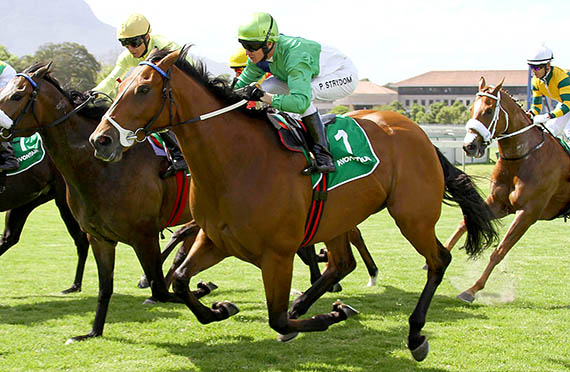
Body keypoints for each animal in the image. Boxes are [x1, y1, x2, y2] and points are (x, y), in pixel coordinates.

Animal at [90, 48, 496, 362]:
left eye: (143, 88)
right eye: (120, 85)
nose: (101, 140)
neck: (236, 163)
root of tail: (418, 132)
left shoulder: (278, 255)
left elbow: (277, 319)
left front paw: (329, 316)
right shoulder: (215, 240)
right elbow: (179, 280)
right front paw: (219, 308)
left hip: (412, 216)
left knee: (438, 260)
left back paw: (414, 335)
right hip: (339, 218)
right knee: (341, 263)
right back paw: (306, 301)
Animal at [444, 77, 568, 302]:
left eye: (489, 110)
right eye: (471, 108)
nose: (468, 146)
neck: (523, 158)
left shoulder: (528, 212)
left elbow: (500, 251)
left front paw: (471, 290)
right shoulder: (498, 203)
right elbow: (465, 223)